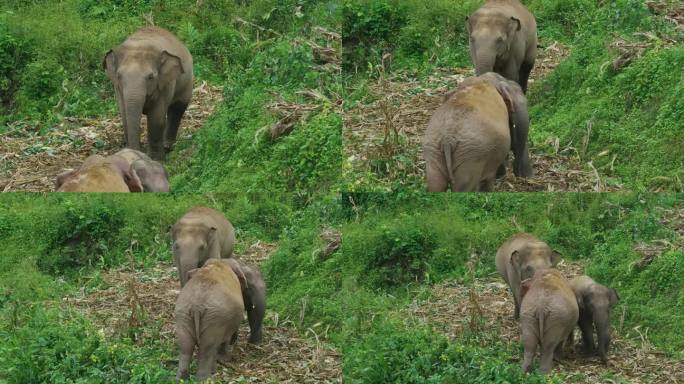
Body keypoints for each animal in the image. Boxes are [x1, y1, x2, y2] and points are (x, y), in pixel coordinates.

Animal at [105, 26, 194, 159]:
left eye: (150, 77)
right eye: (119, 76)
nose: (136, 152)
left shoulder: (165, 84)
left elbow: (156, 118)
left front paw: (155, 159)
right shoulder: (118, 88)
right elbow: (125, 115)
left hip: (187, 82)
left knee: (177, 109)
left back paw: (168, 147)